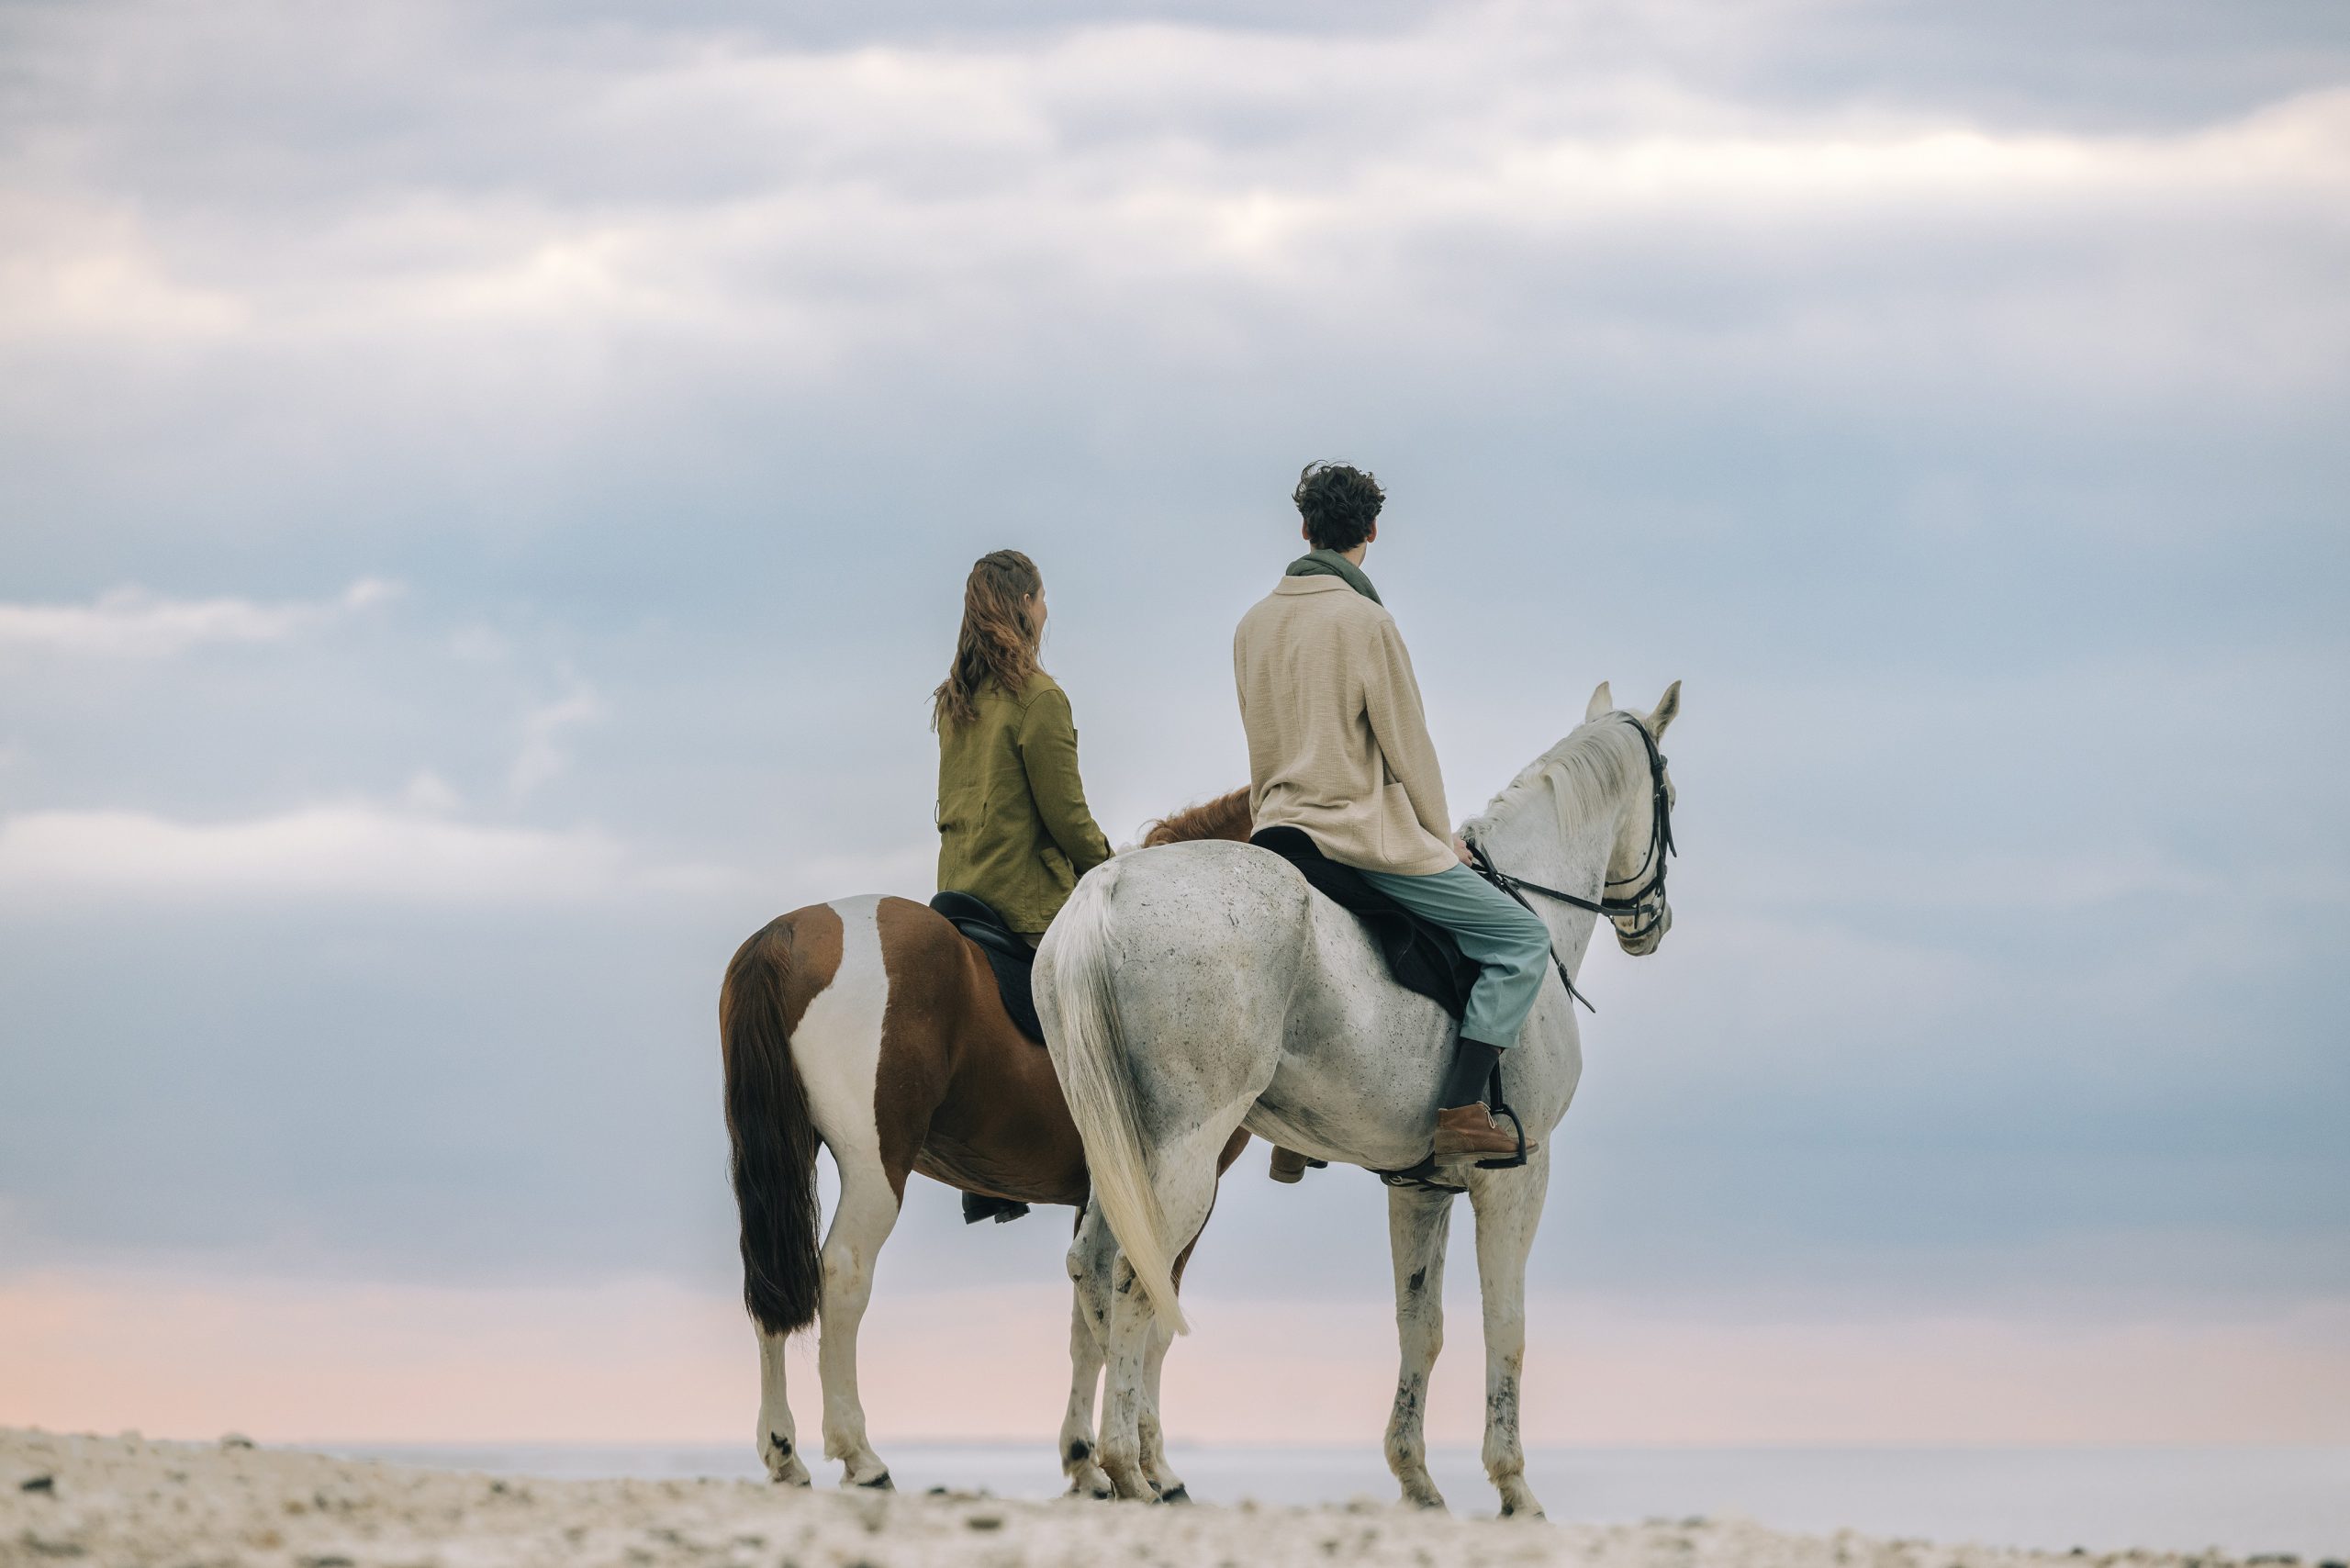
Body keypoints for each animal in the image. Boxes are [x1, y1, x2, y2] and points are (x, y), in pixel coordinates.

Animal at [719, 865, 1249, 1504]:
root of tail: (787, 933)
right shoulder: (1180, 1192)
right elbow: (1150, 1321)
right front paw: (1155, 1471)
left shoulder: (1101, 1199)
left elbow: (1088, 1321)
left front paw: (1088, 1464)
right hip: (876, 1168)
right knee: (842, 1275)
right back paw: (862, 1458)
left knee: (772, 1280)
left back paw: (783, 1454)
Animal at [1038, 681, 1682, 1514]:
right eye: (1671, 794)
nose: (1653, 923)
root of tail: (1111, 884)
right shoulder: (1518, 1177)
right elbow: (1506, 1326)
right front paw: (1514, 1487)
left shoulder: (1421, 1185)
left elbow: (1421, 1326)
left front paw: (1416, 1479)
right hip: (1181, 1155)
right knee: (1134, 1276)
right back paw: (1127, 1468)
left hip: (1120, 1150)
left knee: (1093, 1269)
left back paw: (1108, 1466)